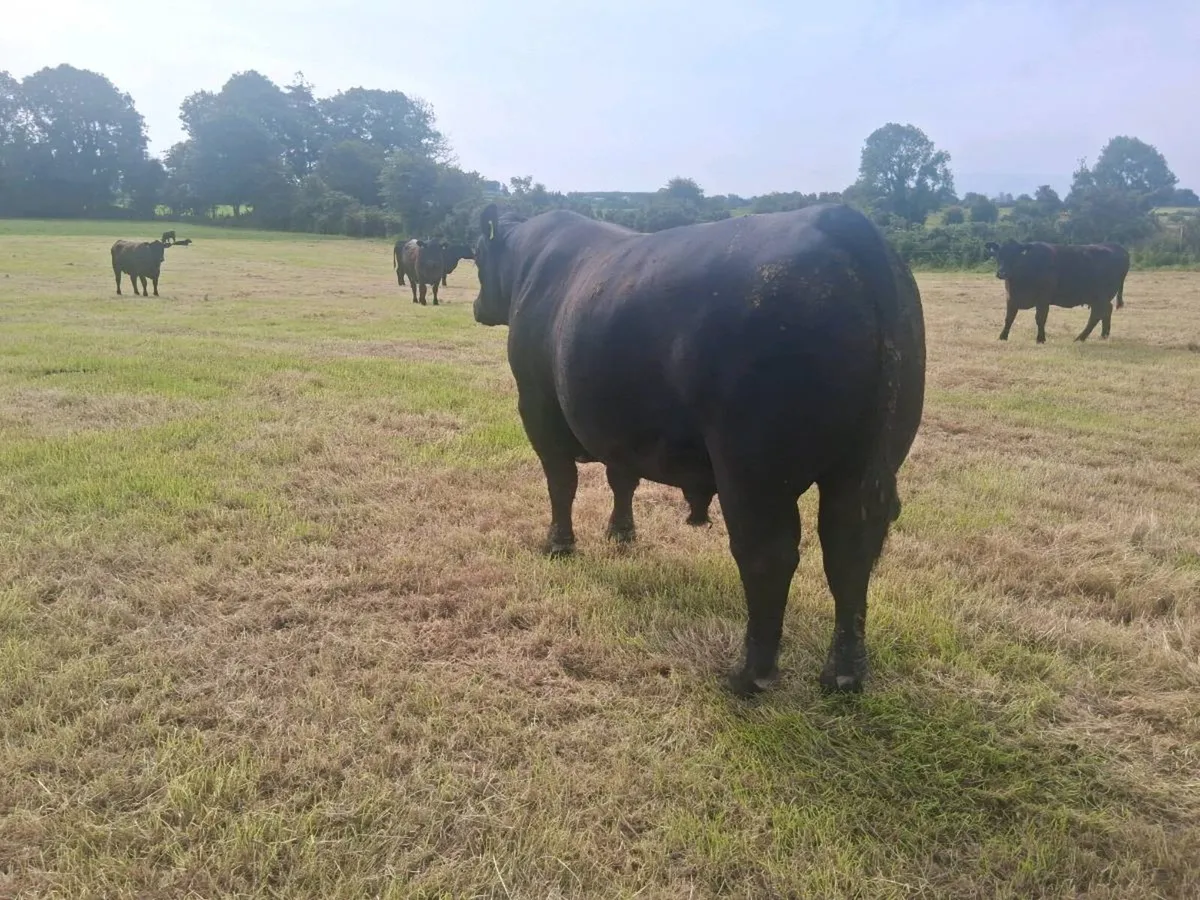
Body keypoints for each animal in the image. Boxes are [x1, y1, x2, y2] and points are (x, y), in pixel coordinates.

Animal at [471, 202, 926, 695]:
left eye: (475, 257)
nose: (476, 307)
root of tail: (839, 219)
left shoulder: (537, 406)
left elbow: (561, 482)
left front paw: (559, 545)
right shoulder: (621, 428)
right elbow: (621, 478)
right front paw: (621, 533)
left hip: (751, 468)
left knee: (767, 555)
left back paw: (751, 676)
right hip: (860, 465)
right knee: (849, 552)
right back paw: (844, 674)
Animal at [985, 239, 1130, 343]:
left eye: (1016, 256)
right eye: (998, 255)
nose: (1002, 273)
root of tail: (1117, 247)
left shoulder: (1043, 298)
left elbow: (1040, 318)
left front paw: (1041, 339)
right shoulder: (1011, 298)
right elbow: (1009, 318)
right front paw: (1002, 337)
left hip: (1100, 297)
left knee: (1096, 315)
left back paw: (1080, 338)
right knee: (1106, 311)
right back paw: (1103, 335)